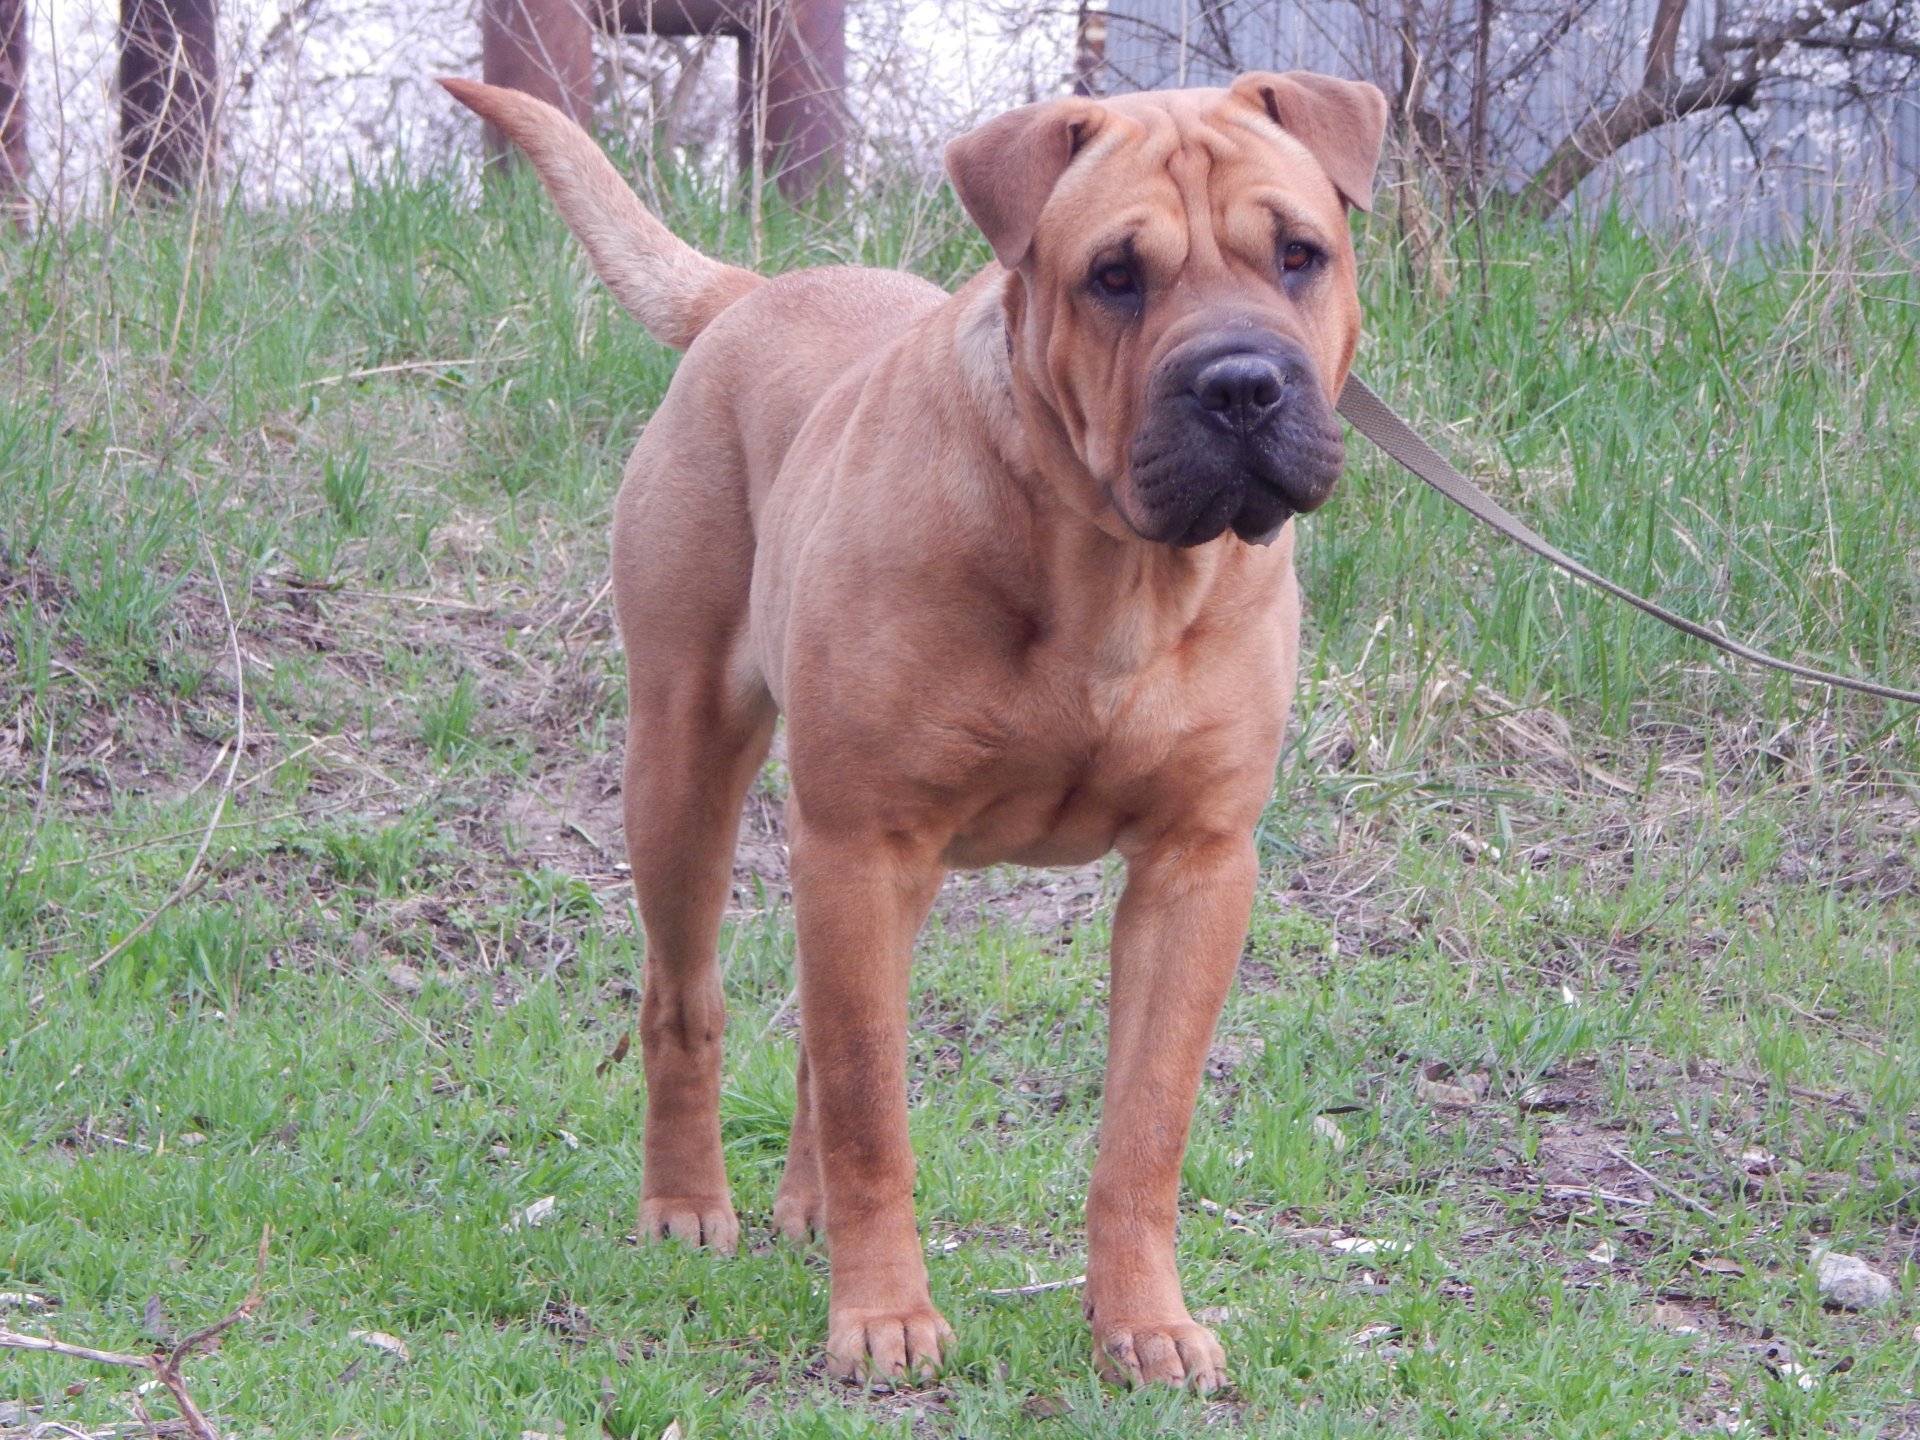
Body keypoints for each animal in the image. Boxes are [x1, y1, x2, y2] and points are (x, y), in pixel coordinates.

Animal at [443, 71, 1386, 1392]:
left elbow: (1142, 1129)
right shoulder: (860, 838)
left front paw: (1144, 1321)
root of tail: (754, 292)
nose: (1242, 384)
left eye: (1300, 254)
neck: (1112, 571)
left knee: (817, 1038)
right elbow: (874, 1112)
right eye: (1114, 275)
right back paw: (685, 1207)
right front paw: (883, 1318)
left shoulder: (1195, 867)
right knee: (691, 1001)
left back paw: (805, 1209)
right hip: (685, 766)